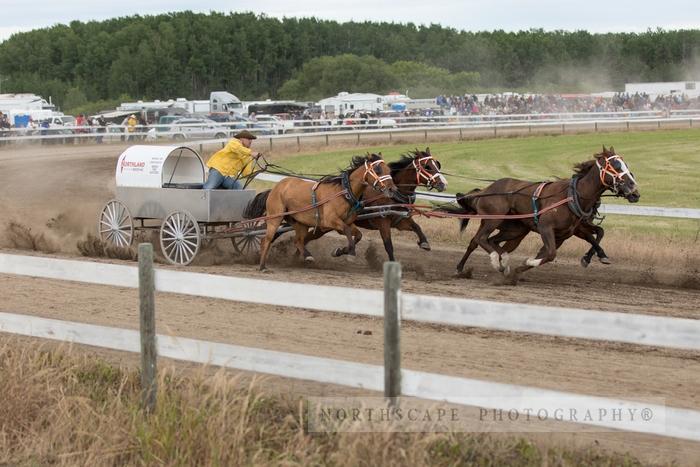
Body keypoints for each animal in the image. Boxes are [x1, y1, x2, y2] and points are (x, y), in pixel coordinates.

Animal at [243, 154, 396, 270]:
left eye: (389, 169)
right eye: (378, 169)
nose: (392, 189)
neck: (343, 192)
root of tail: (275, 188)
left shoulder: (346, 222)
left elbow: (357, 235)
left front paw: (340, 251)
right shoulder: (331, 221)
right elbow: (347, 232)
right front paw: (350, 252)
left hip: (299, 222)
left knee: (298, 241)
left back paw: (307, 256)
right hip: (275, 217)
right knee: (267, 239)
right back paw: (262, 266)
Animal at [302, 148, 446, 262]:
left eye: (437, 165)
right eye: (428, 167)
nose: (443, 183)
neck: (393, 196)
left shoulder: (400, 220)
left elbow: (417, 227)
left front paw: (424, 243)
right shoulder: (383, 223)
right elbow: (388, 246)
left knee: (308, 237)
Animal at [446, 146, 636, 282]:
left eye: (626, 165)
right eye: (616, 165)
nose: (634, 189)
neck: (572, 196)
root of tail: (486, 190)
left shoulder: (568, 232)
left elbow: (596, 234)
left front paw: (597, 256)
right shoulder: (546, 228)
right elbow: (550, 254)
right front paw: (527, 262)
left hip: (515, 230)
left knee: (492, 241)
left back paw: (502, 263)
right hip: (492, 219)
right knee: (479, 239)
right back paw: (478, 264)